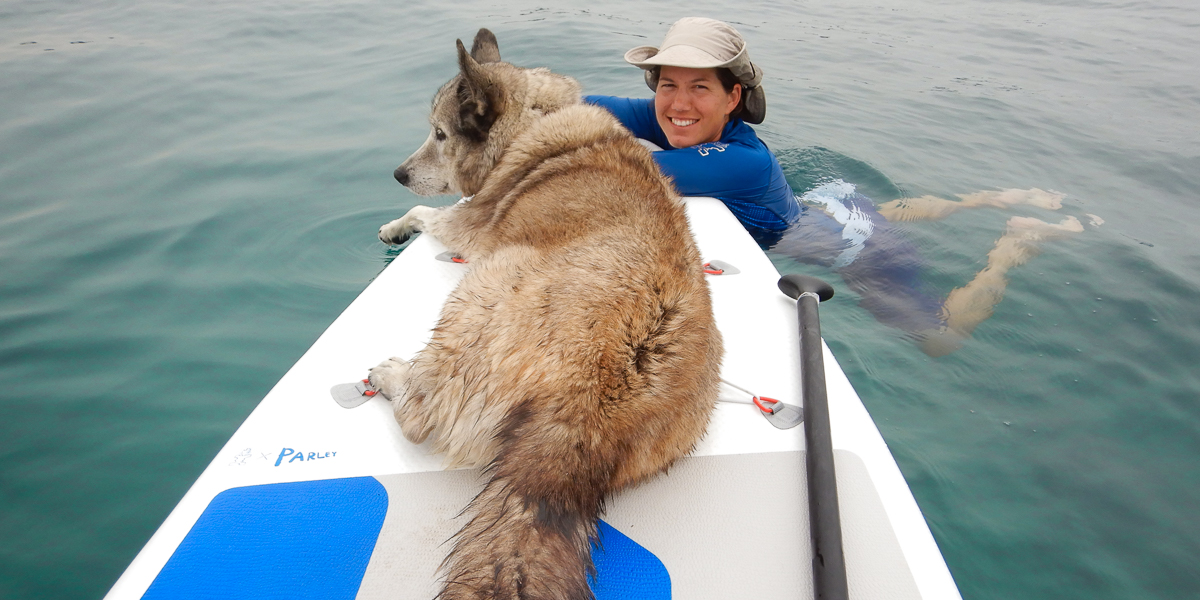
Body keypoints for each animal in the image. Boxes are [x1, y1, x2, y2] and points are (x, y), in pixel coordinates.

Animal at [364, 29, 720, 600]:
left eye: (439, 134)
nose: (398, 174)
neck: (532, 120)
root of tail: (590, 415)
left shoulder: (467, 224)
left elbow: (424, 214)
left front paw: (397, 224)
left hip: (486, 280)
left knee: (421, 415)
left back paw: (395, 376)